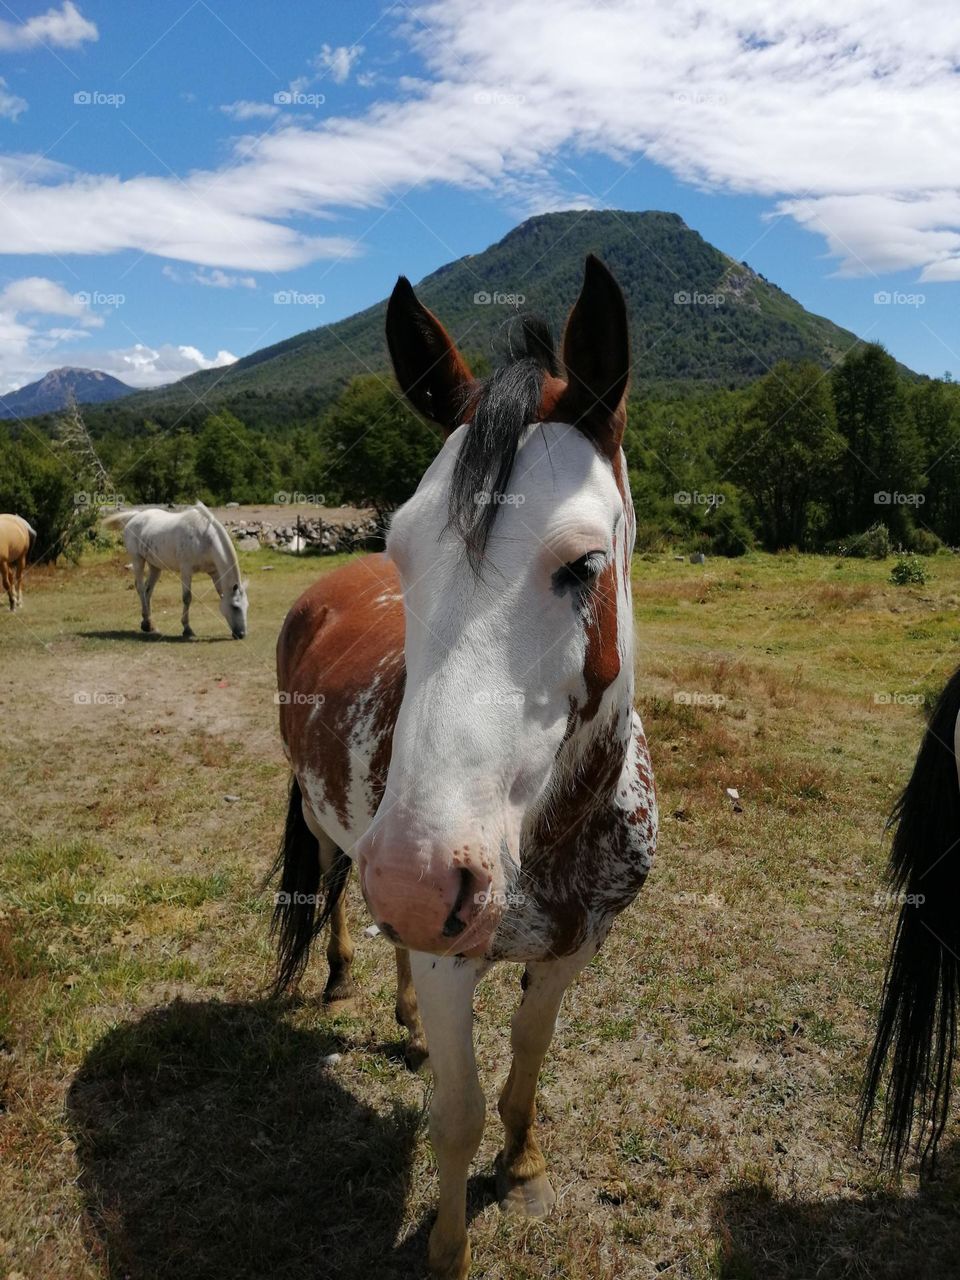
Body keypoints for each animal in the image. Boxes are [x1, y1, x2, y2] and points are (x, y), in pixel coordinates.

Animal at [102, 501, 248, 639]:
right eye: (235, 606)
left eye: (246, 606)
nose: (241, 634)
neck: (204, 538)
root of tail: (135, 516)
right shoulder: (186, 570)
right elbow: (187, 598)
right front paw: (187, 629)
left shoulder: (214, 572)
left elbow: (220, 593)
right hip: (138, 560)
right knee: (141, 588)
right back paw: (147, 623)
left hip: (155, 567)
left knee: (148, 590)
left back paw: (148, 623)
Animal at [272, 255, 657, 1279]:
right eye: (404, 550)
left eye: (585, 564)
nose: (415, 881)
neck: (557, 838)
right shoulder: (455, 961)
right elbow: (458, 1113)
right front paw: (448, 1247)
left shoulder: (572, 949)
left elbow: (526, 1064)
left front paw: (523, 1168)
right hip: (328, 827)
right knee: (331, 889)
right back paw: (338, 975)